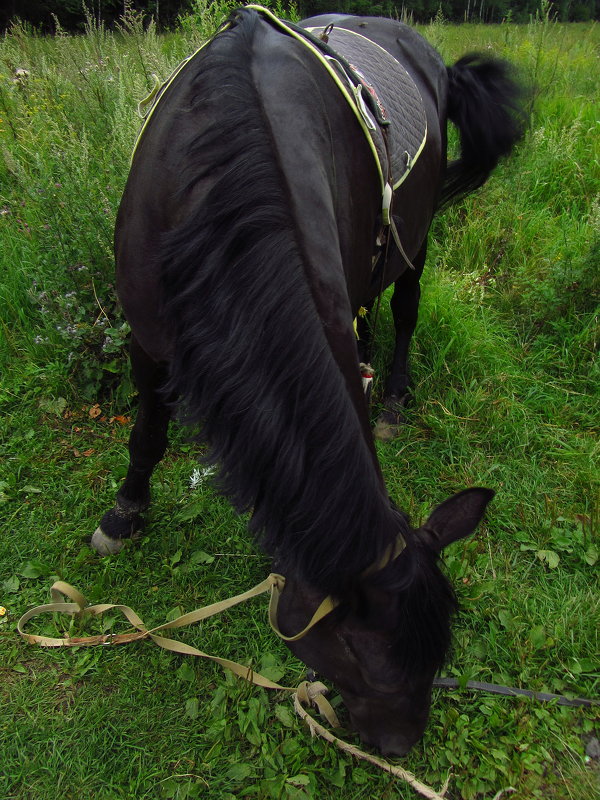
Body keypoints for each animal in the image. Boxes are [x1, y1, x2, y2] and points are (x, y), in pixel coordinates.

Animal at [91, 7, 524, 756]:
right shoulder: (146, 338)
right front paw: (124, 515)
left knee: (405, 305)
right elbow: (147, 434)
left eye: (436, 654)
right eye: (359, 654)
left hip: (414, 233)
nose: (400, 746)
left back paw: (395, 397)